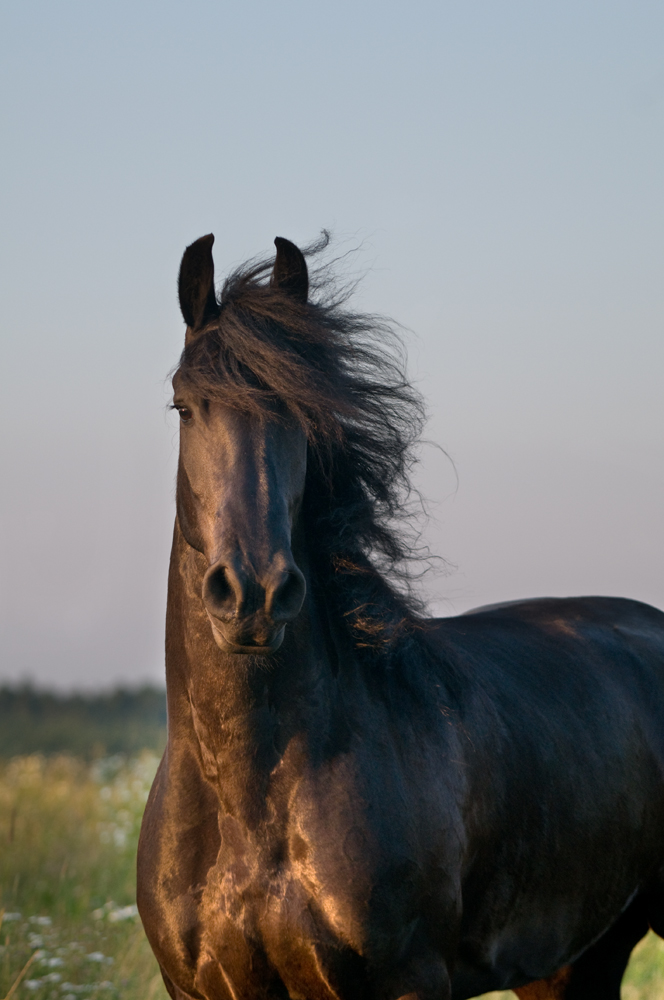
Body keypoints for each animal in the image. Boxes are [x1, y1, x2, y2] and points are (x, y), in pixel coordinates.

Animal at [137, 234, 664, 1000]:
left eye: (305, 410)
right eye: (183, 405)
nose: (254, 593)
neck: (251, 794)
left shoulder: (409, 979)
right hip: (575, 959)